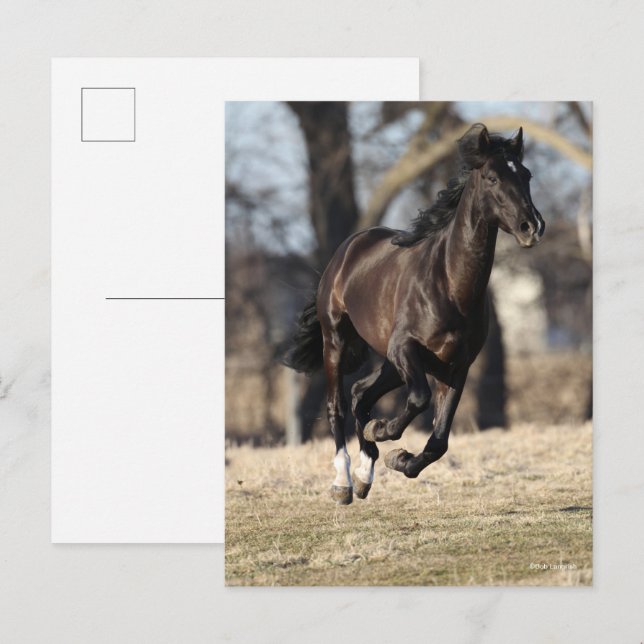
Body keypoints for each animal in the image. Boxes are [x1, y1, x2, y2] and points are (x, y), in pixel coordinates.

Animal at [284, 123, 545, 504]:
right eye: (493, 178)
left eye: (525, 174)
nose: (533, 226)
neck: (449, 284)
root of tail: (348, 249)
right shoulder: (405, 349)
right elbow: (419, 400)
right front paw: (383, 431)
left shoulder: (456, 366)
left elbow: (439, 440)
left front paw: (398, 458)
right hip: (338, 342)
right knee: (338, 406)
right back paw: (343, 483)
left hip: (393, 365)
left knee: (361, 392)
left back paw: (365, 474)